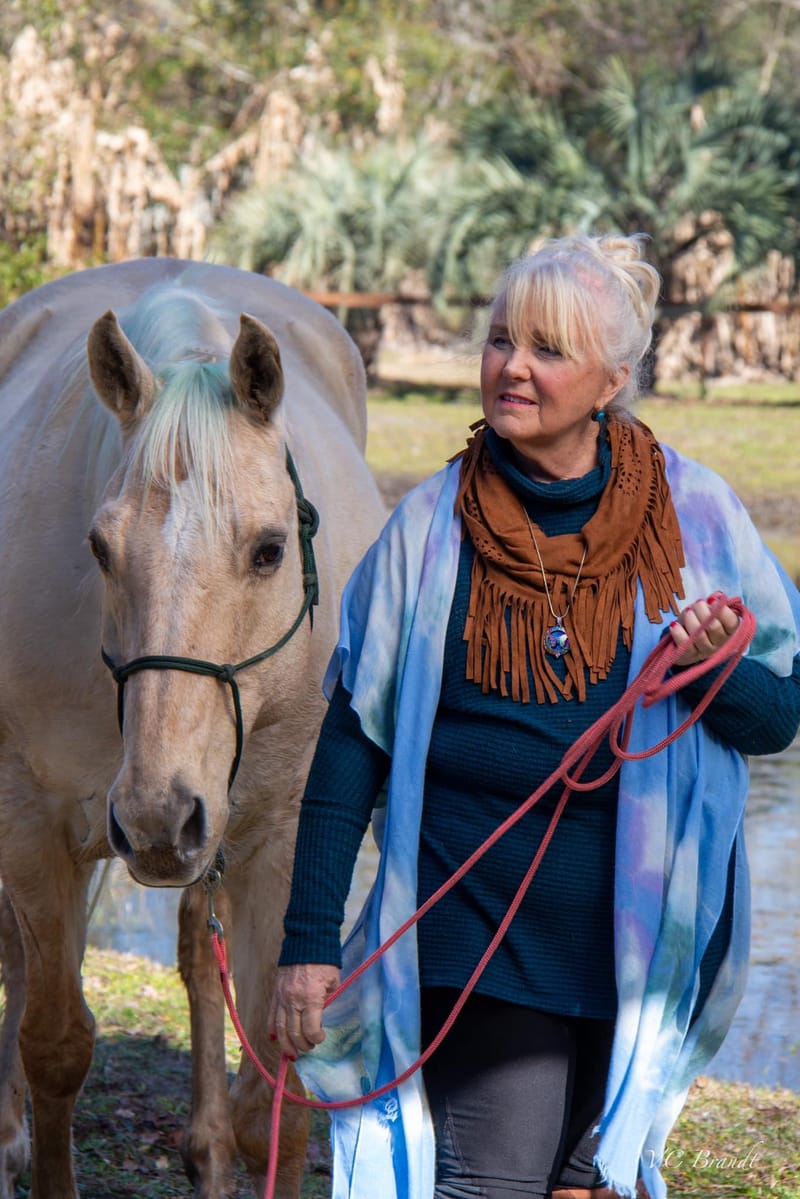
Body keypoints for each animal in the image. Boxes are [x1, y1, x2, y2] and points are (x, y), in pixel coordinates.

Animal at [0, 257, 383, 1194]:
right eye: (99, 548)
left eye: (271, 548)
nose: (155, 818)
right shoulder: (30, 822)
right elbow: (54, 1042)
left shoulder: (276, 836)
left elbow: (273, 1098)